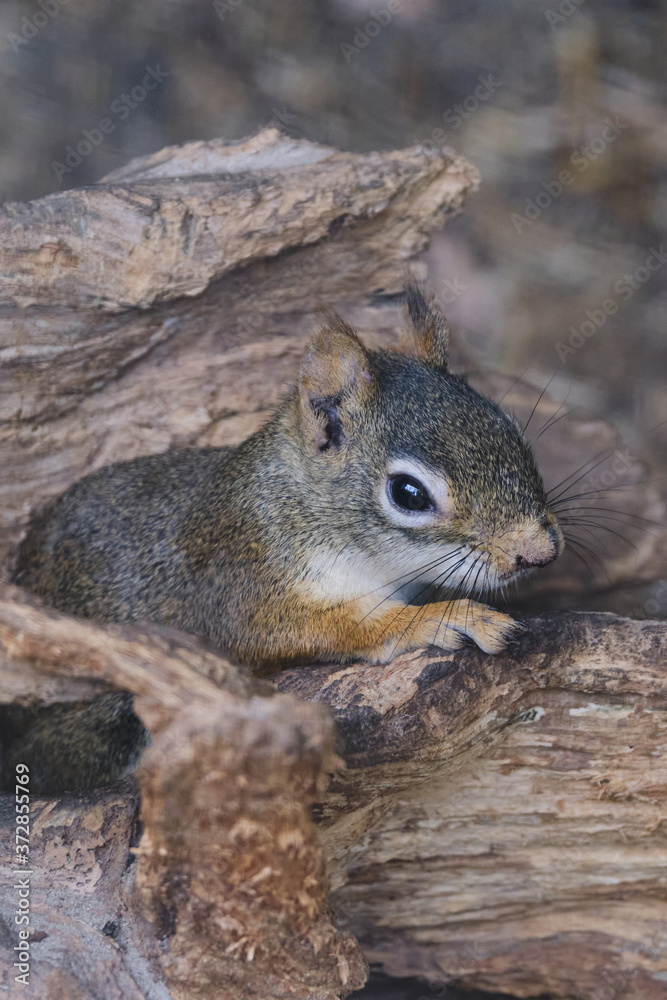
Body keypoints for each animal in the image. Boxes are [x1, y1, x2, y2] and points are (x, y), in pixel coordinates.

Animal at [9, 284, 562, 791]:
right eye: (408, 493)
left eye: (508, 425)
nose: (538, 553)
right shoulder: (246, 589)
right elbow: (331, 628)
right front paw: (439, 618)